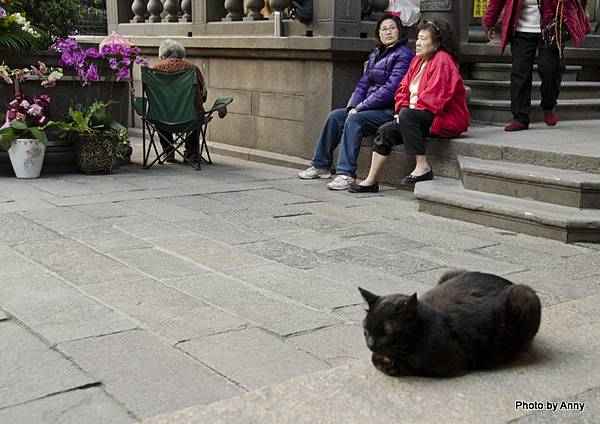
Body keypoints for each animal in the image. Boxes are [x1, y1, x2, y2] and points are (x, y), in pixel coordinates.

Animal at [358, 270, 540, 376]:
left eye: (385, 333)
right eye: (366, 330)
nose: (370, 344)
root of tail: (509, 282)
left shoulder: (448, 362)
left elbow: (405, 363)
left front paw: (389, 365)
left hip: (524, 297)